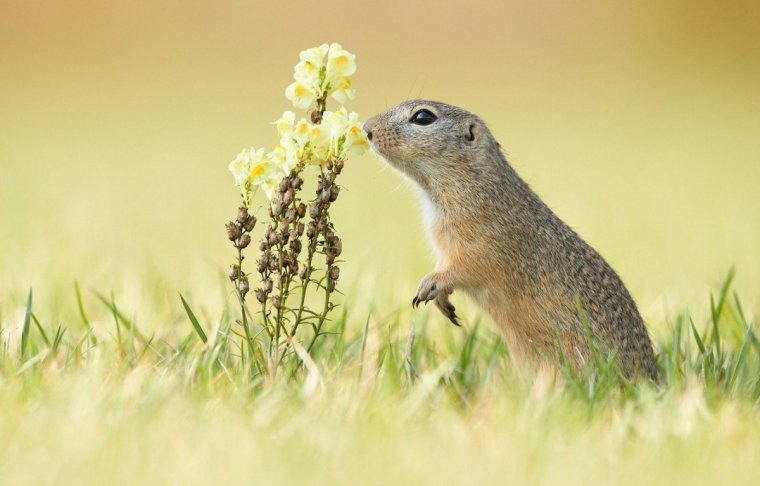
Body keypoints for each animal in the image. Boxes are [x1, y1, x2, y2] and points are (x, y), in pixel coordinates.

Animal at [366, 99, 656, 380]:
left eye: (423, 117)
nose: (367, 128)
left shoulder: (482, 244)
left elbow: (465, 268)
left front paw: (430, 285)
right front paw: (442, 301)